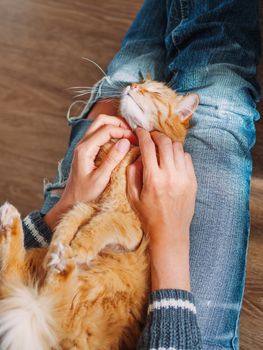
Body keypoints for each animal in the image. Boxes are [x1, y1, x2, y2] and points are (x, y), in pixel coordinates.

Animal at [0, 80, 199, 350]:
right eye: (142, 83)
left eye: (154, 91)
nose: (133, 85)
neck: (130, 149)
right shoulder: (90, 204)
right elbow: (70, 221)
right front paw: (61, 244)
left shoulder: (126, 222)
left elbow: (98, 227)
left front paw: (78, 248)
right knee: (17, 280)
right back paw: (16, 226)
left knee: (48, 299)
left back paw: (60, 261)